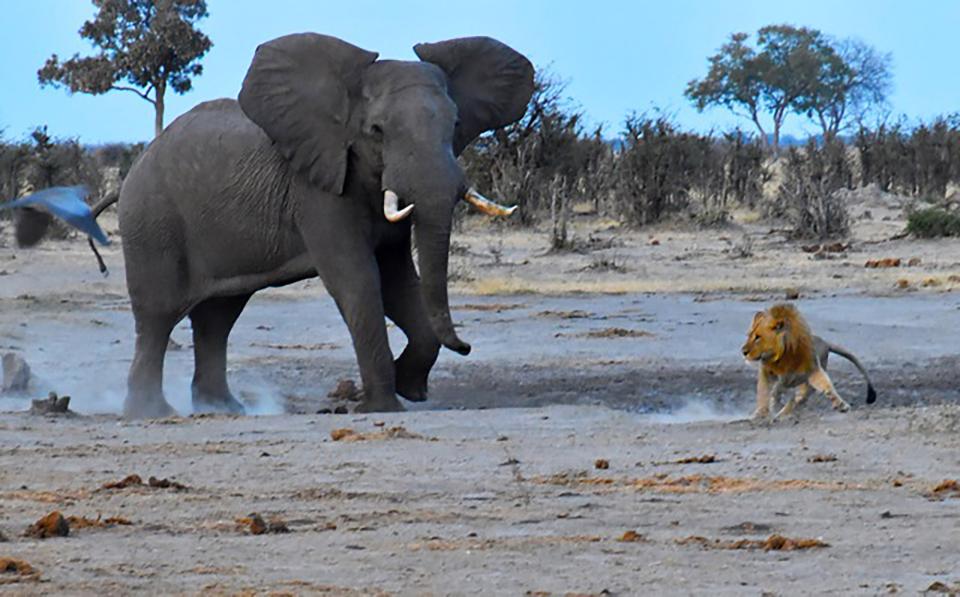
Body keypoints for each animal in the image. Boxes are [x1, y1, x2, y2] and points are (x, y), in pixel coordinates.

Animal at [101, 31, 536, 414]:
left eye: (456, 124)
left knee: (217, 317)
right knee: (158, 318)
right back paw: (152, 413)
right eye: (377, 131)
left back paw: (225, 409)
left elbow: (397, 281)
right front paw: (382, 406)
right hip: (151, 222)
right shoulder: (317, 189)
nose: (465, 347)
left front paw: (407, 388)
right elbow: (359, 279)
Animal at [744, 302, 876, 420]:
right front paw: (760, 413)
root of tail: (825, 343)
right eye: (749, 335)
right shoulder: (766, 373)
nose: (743, 351)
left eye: (758, 337)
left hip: (812, 375)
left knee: (802, 396)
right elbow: (764, 392)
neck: (780, 356)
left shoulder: (808, 371)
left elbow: (825, 385)